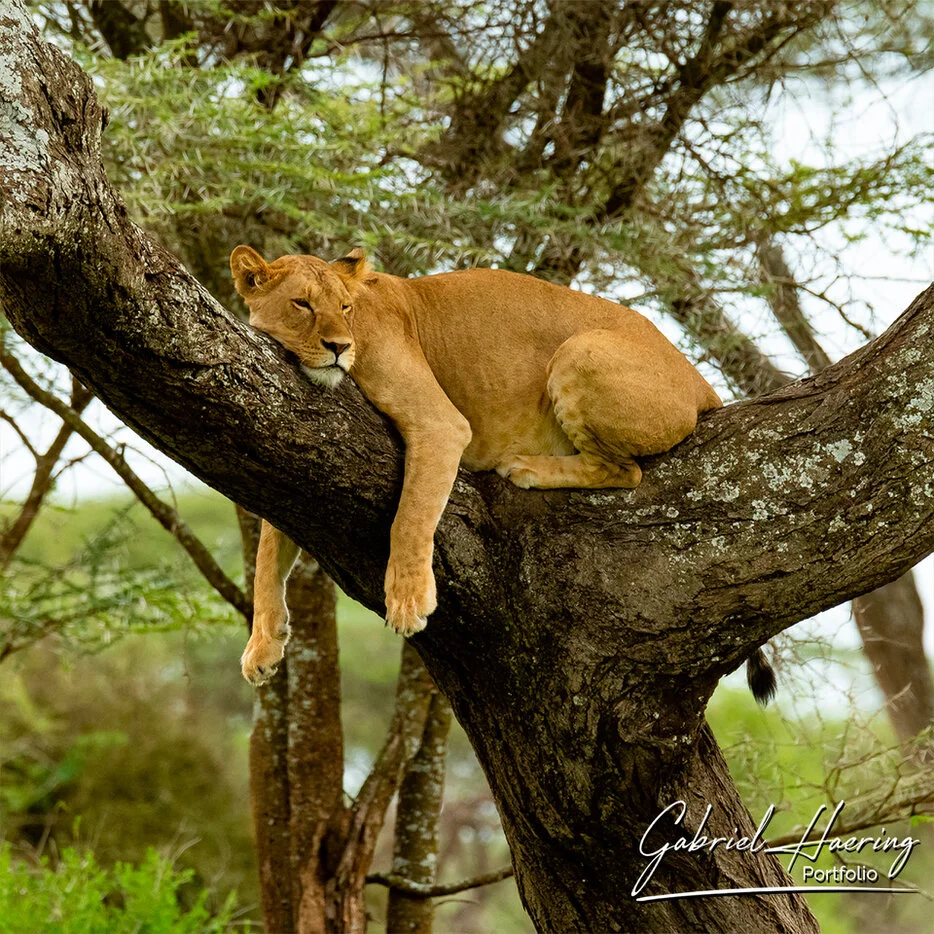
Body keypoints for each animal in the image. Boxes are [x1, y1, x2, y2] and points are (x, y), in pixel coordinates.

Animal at [229, 246, 776, 703]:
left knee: (628, 471)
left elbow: (411, 517)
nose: (339, 346)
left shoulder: (441, 424)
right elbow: (268, 550)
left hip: (580, 350)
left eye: (345, 308)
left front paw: (408, 600)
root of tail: (702, 383)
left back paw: (526, 467)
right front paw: (262, 646)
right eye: (301, 304)